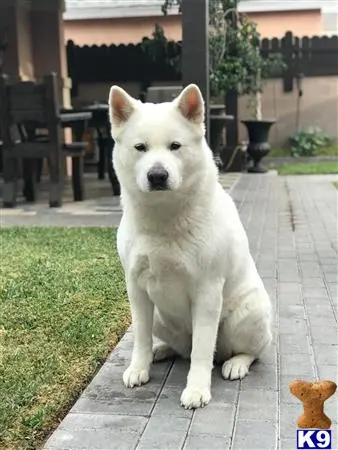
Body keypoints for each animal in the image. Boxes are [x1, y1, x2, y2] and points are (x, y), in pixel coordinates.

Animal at [108, 82, 272, 410]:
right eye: (140, 147)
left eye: (175, 146)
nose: (157, 175)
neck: (165, 219)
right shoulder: (136, 289)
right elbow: (140, 338)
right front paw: (139, 367)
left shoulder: (207, 292)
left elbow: (201, 351)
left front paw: (197, 389)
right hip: (160, 317)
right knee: (180, 347)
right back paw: (161, 350)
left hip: (246, 314)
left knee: (248, 351)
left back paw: (236, 363)